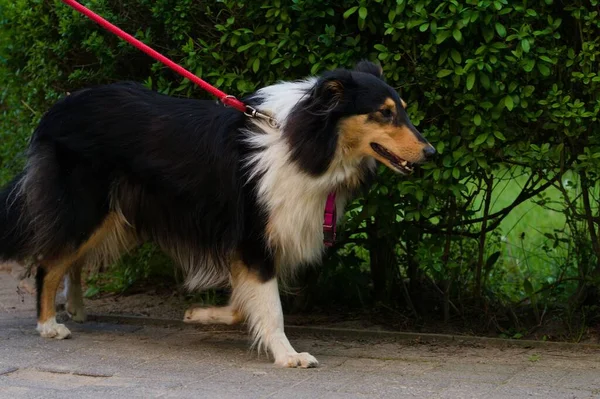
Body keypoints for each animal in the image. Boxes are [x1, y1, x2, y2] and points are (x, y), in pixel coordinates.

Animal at [0, 61, 432, 370]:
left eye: (402, 111)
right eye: (384, 113)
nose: (430, 153)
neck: (306, 141)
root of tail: (58, 108)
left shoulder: (249, 247)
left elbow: (245, 303)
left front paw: (201, 315)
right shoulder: (254, 237)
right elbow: (271, 307)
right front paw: (288, 355)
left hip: (114, 215)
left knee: (72, 259)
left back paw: (75, 306)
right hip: (87, 207)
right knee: (49, 262)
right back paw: (48, 325)